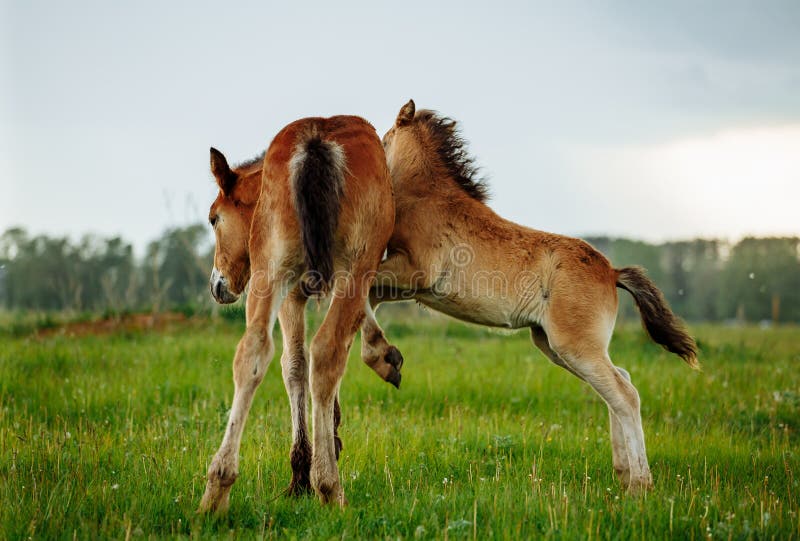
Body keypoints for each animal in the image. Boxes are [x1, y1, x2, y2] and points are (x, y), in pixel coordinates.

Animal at [198, 115, 395, 511]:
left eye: (213, 219)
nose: (217, 285)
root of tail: (315, 142)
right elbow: (311, 364)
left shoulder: (290, 294)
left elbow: (292, 367)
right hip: (354, 270)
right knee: (327, 353)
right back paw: (328, 485)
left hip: (270, 274)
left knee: (254, 352)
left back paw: (217, 486)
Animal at [358, 100, 699, 492]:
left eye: (384, 138)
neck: (428, 197)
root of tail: (612, 273)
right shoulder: (403, 284)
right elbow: (368, 297)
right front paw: (384, 357)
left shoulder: (412, 272)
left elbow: (362, 285)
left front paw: (385, 360)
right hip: (554, 345)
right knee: (622, 381)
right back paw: (624, 474)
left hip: (575, 347)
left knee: (625, 395)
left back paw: (640, 484)